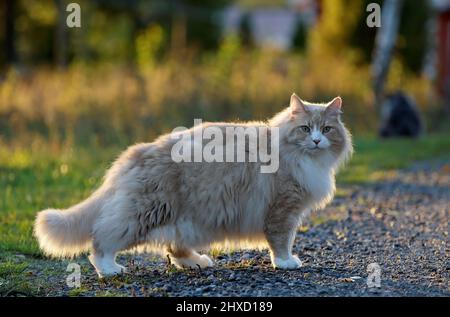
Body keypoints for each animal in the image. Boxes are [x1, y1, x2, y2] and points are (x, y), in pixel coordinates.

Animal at [34, 92, 352, 276]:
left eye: (326, 129)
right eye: (305, 129)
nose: (316, 141)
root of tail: (138, 151)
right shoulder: (282, 209)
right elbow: (281, 241)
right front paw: (285, 262)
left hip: (188, 219)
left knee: (174, 247)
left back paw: (197, 262)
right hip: (144, 212)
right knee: (101, 238)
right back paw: (110, 269)